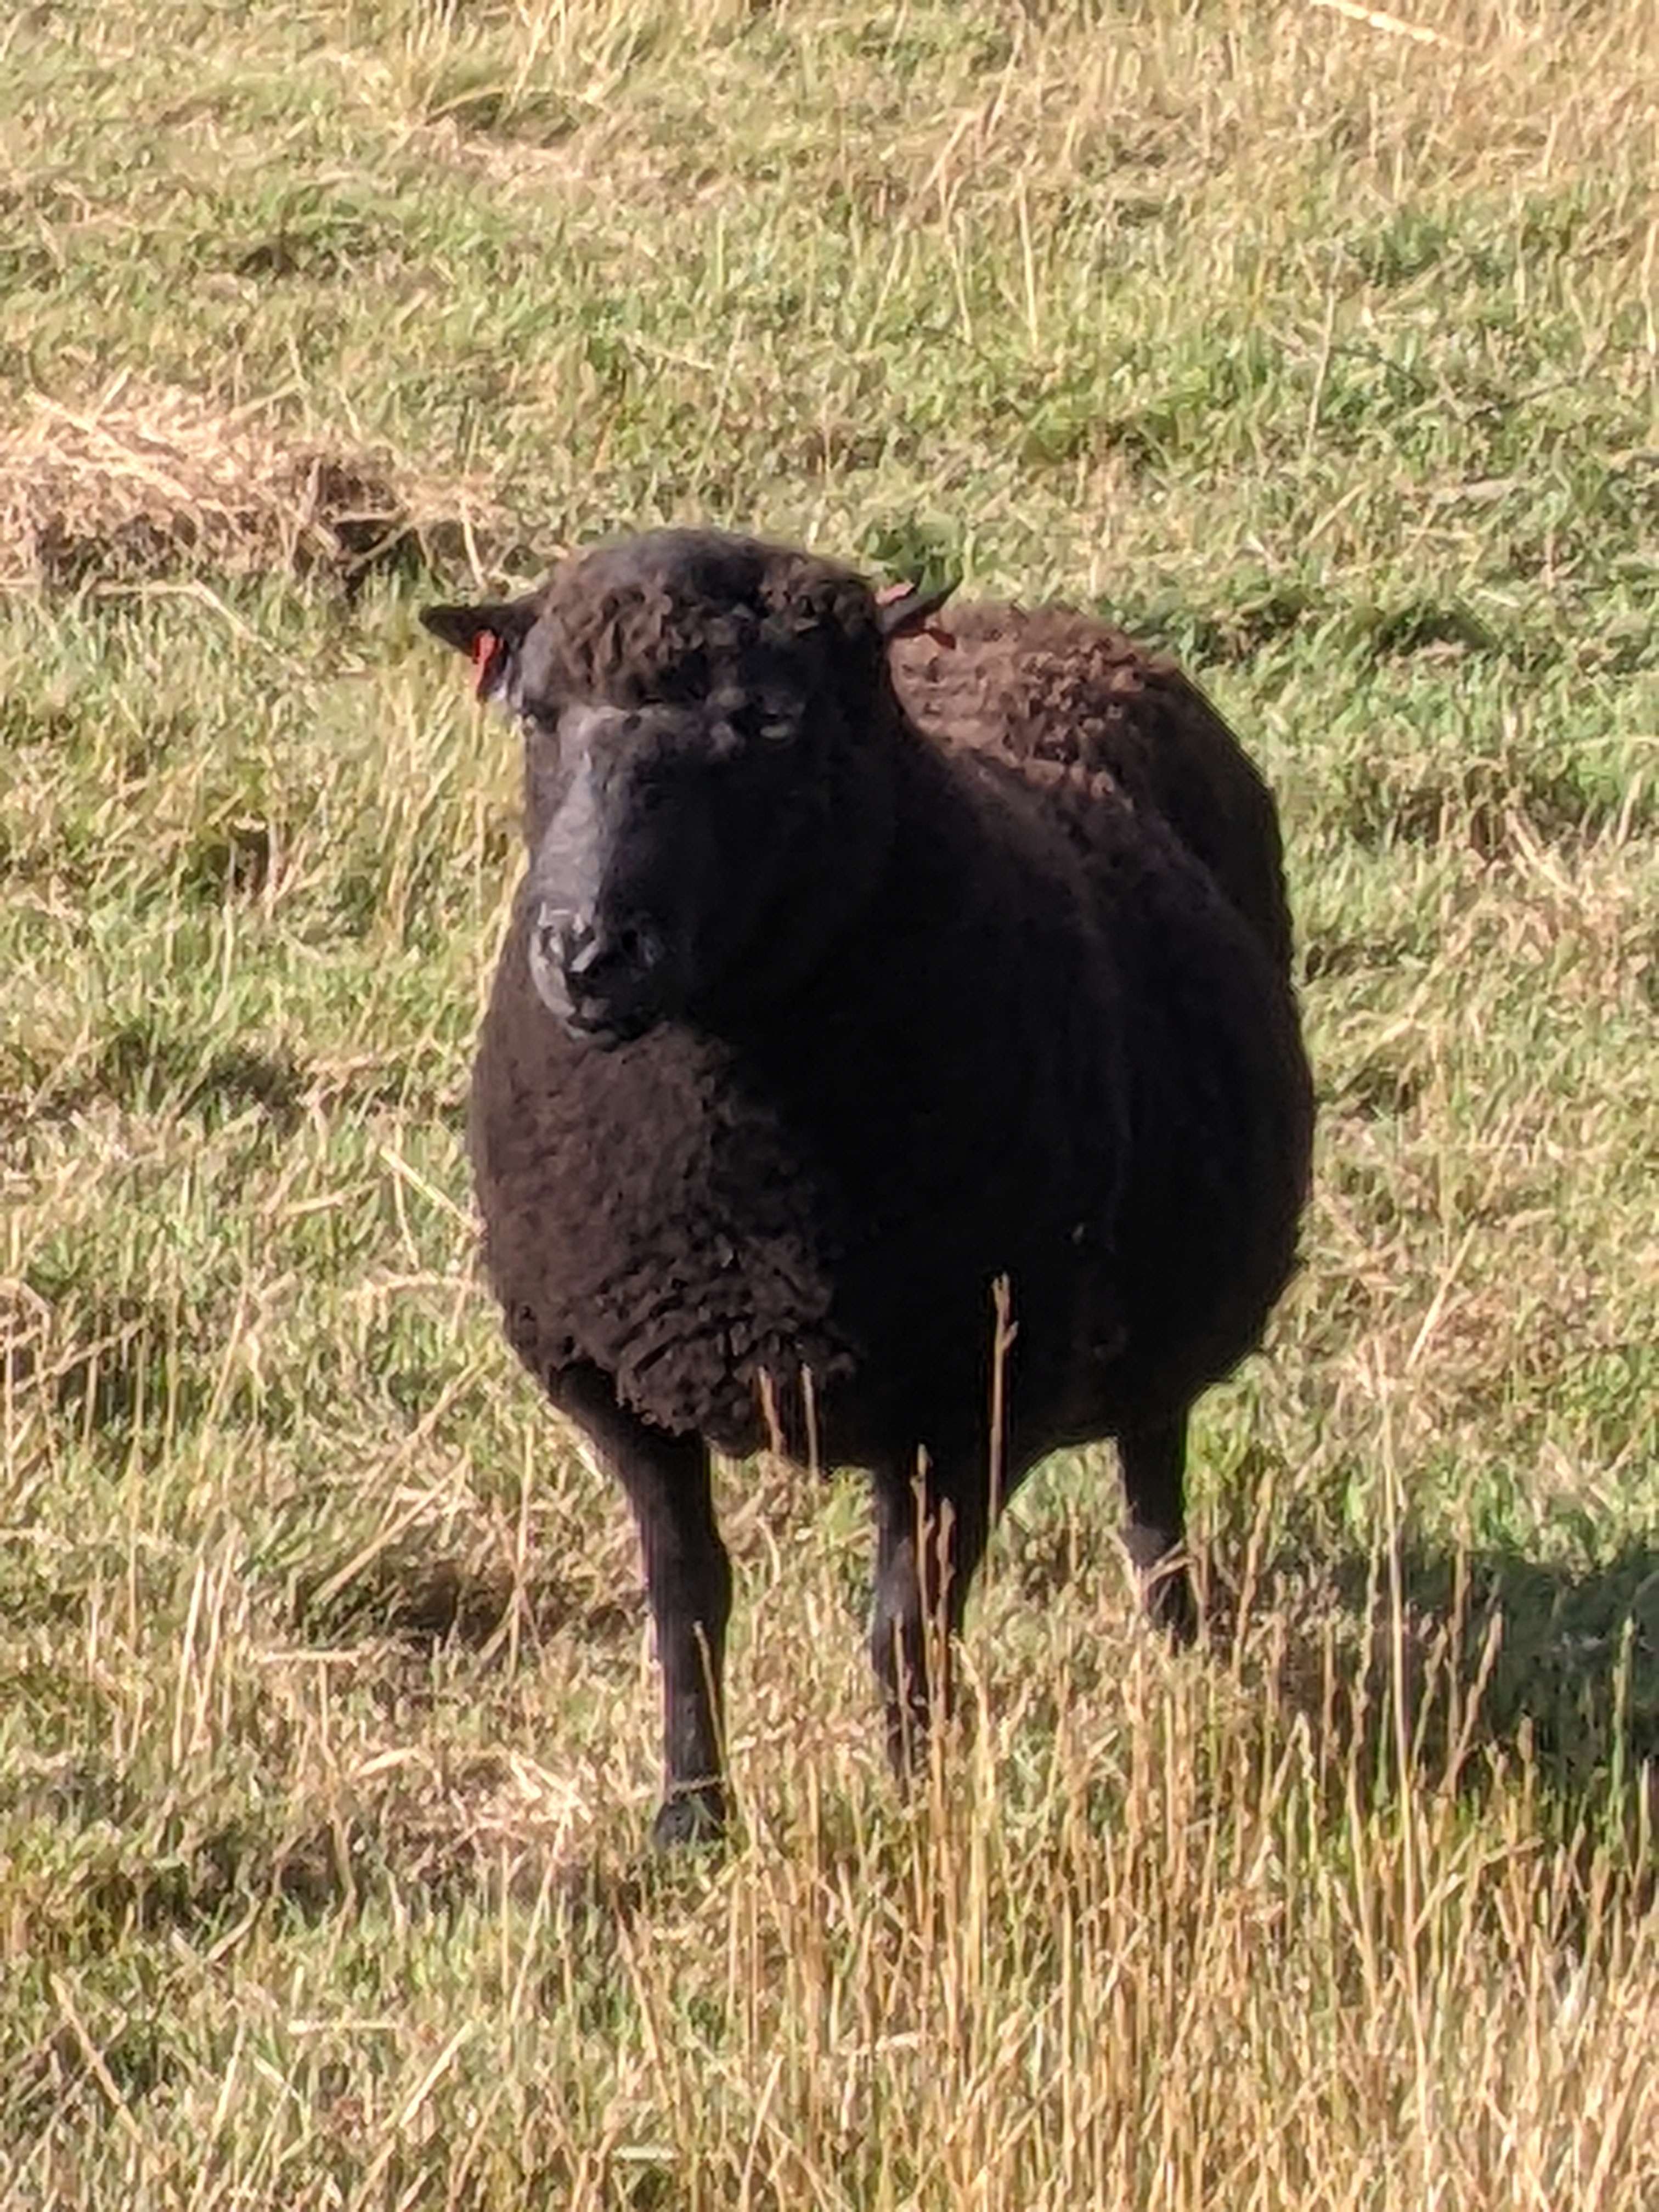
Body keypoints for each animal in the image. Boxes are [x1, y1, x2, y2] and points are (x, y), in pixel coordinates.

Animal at [421, 528, 1314, 1847]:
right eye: (535, 713)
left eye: (768, 720)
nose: (587, 953)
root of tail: (1030, 619)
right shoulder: (617, 1382)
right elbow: (686, 1601)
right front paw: (690, 1818)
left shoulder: (968, 1394)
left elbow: (907, 1631)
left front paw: (912, 1820)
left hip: (1151, 1298)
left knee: (1153, 1458)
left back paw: (1176, 1641)